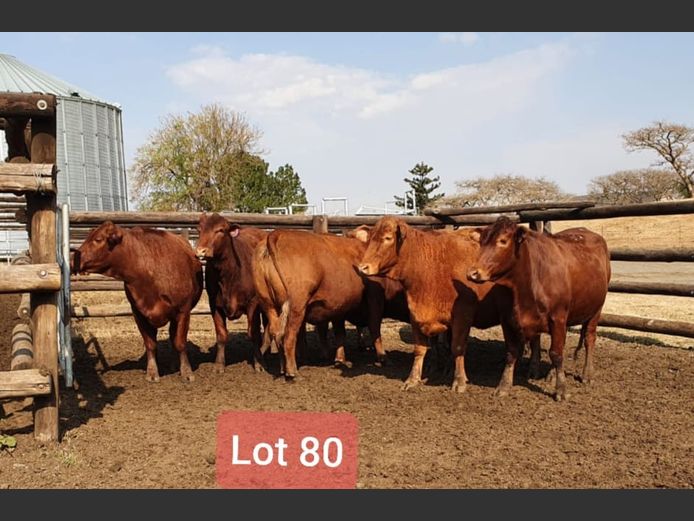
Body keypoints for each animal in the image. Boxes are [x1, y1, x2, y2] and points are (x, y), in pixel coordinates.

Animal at [74, 220, 204, 382]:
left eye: (98, 239)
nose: (73, 259)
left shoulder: (183, 311)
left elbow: (180, 343)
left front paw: (187, 372)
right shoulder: (139, 313)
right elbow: (150, 344)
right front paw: (152, 372)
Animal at [198, 213, 272, 372]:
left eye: (220, 230)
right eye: (199, 229)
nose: (201, 250)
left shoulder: (253, 303)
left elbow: (253, 333)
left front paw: (259, 363)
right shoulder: (215, 304)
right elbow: (221, 334)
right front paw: (219, 364)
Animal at [356, 214, 512, 390]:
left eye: (388, 238)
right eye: (370, 239)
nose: (363, 267)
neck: (430, 267)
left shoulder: (462, 315)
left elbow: (457, 347)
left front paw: (459, 381)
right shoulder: (416, 313)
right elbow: (420, 348)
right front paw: (413, 379)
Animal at [470, 217, 612, 400]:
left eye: (503, 241)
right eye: (481, 242)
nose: (473, 273)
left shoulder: (558, 317)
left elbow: (556, 354)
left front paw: (561, 390)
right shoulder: (506, 319)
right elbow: (512, 352)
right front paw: (504, 386)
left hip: (596, 309)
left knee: (589, 338)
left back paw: (587, 374)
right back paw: (547, 374)